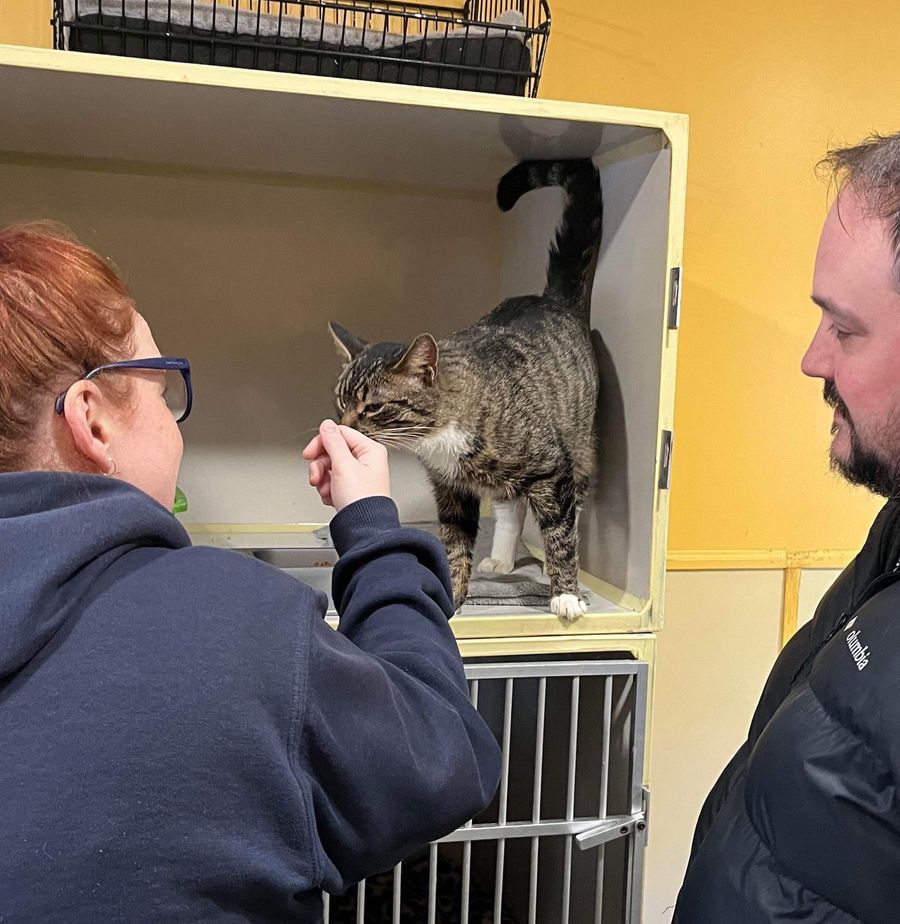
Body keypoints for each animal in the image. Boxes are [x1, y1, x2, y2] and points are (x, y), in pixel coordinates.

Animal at [326, 159, 600, 620]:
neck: (439, 438)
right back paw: (502, 560)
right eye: (341, 401)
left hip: (577, 445)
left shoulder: (551, 465)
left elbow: (561, 535)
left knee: (568, 511)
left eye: (374, 407)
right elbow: (454, 545)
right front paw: (450, 597)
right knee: (509, 509)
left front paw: (565, 593)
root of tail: (551, 298)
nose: (341, 426)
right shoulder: (451, 490)